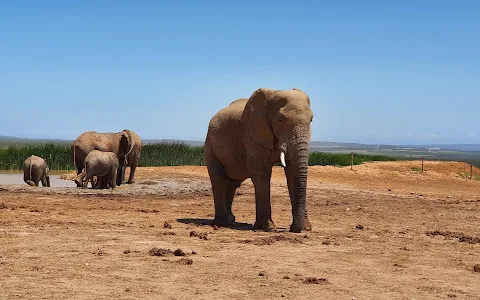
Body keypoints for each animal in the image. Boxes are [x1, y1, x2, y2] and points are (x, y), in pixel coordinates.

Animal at [205, 88, 316, 233]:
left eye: (311, 120)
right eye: (280, 120)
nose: (293, 229)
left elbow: (292, 175)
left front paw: (306, 228)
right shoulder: (252, 134)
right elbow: (261, 173)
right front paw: (267, 228)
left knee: (232, 182)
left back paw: (230, 220)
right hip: (210, 145)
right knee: (217, 178)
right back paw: (221, 222)